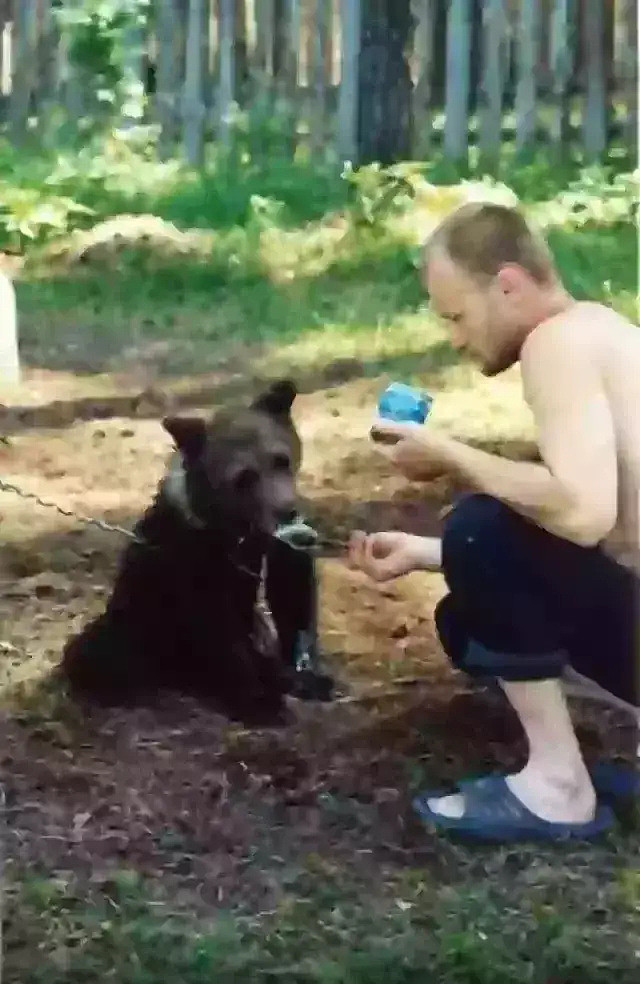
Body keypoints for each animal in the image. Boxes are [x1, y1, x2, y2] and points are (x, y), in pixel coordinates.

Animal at [59, 379, 333, 725]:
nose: (287, 511)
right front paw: (257, 699)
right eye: (244, 477)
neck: (234, 527)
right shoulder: (191, 557)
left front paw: (306, 675)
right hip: (137, 623)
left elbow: (291, 594)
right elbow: (216, 627)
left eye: (281, 459)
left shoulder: (273, 547)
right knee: (99, 655)